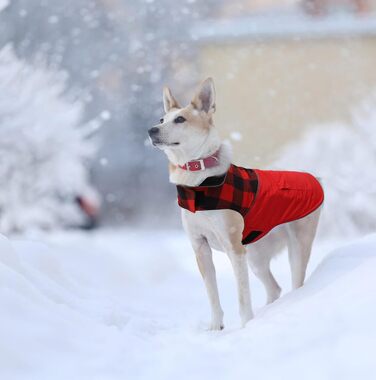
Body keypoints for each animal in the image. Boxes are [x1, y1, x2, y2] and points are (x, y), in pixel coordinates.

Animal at [148, 78, 324, 330]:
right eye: (161, 119)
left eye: (180, 119)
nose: (151, 130)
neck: (198, 180)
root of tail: (313, 178)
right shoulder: (200, 247)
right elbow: (212, 294)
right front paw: (215, 328)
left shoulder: (234, 248)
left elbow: (242, 296)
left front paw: (244, 327)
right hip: (256, 256)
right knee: (274, 288)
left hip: (297, 243)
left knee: (296, 281)